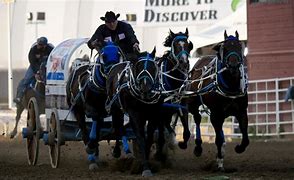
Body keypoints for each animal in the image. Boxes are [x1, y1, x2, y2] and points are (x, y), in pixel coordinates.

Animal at [66, 41, 129, 169]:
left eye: (118, 53)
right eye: (103, 55)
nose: (113, 72)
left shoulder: (116, 110)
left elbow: (118, 128)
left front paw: (117, 150)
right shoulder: (91, 109)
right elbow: (94, 128)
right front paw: (91, 147)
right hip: (78, 110)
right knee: (84, 131)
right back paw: (91, 156)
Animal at [106, 48, 163, 177]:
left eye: (153, 67)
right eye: (138, 66)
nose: (145, 88)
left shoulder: (154, 116)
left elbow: (149, 139)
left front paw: (144, 162)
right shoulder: (135, 115)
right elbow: (141, 138)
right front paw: (145, 168)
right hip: (116, 108)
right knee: (118, 127)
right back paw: (118, 151)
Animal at [186, 30, 248, 171]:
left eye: (239, 46)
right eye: (224, 48)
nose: (233, 65)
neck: (230, 86)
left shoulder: (242, 111)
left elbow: (245, 138)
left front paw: (238, 148)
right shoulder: (216, 114)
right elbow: (218, 139)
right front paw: (219, 161)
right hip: (193, 103)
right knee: (197, 118)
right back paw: (198, 147)